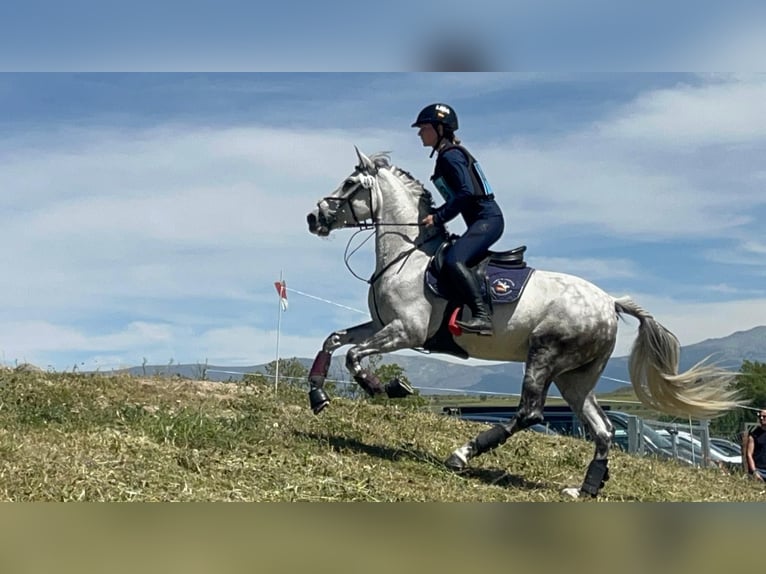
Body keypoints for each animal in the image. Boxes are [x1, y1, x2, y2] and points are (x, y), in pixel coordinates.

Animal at [306, 147, 744, 500]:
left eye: (350, 183)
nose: (314, 217)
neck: (408, 255)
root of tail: (610, 302)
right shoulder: (381, 323)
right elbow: (333, 340)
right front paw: (317, 396)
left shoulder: (406, 331)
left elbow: (356, 357)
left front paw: (388, 387)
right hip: (575, 377)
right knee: (601, 429)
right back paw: (585, 488)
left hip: (545, 354)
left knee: (530, 413)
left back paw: (462, 454)